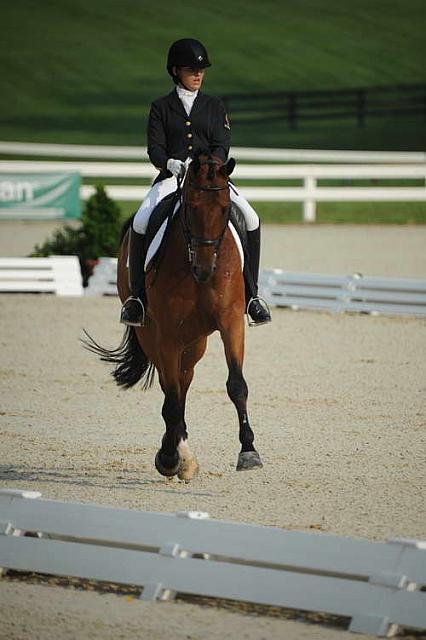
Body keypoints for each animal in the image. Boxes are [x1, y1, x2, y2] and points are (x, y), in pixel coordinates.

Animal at [83, 154, 262, 480]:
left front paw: (248, 451)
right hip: (154, 335)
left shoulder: (231, 323)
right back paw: (179, 454)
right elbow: (172, 399)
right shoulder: (166, 334)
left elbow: (236, 385)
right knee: (172, 388)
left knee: (184, 379)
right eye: (190, 206)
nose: (204, 269)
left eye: (224, 208)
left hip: (195, 341)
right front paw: (168, 458)